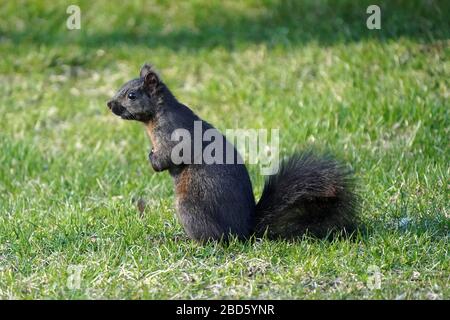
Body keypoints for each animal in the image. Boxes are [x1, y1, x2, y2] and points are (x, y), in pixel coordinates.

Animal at [106, 63, 358, 241]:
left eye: (131, 95)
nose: (109, 104)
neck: (156, 115)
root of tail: (245, 231)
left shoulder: (174, 134)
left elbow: (171, 155)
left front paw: (153, 159)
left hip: (188, 208)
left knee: (213, 239)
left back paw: (182, 240)